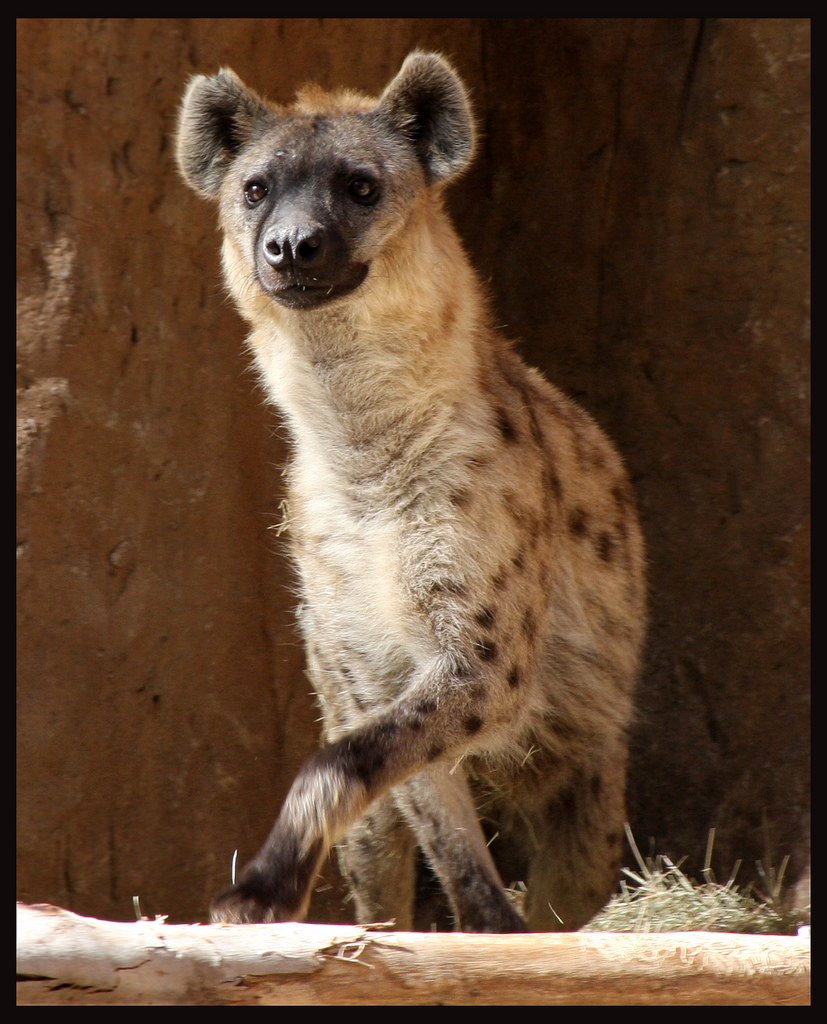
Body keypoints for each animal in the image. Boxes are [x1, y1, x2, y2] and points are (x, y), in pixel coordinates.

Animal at [176, 56, 646, 937]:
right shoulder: (359, 656)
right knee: (378, 854)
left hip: (590, 769)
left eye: (360, 186)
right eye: (255, 189)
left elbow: (348, 759)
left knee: (580, 867)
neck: (365, 454)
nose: (291, 246)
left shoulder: (485, 653)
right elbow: (412, 795)